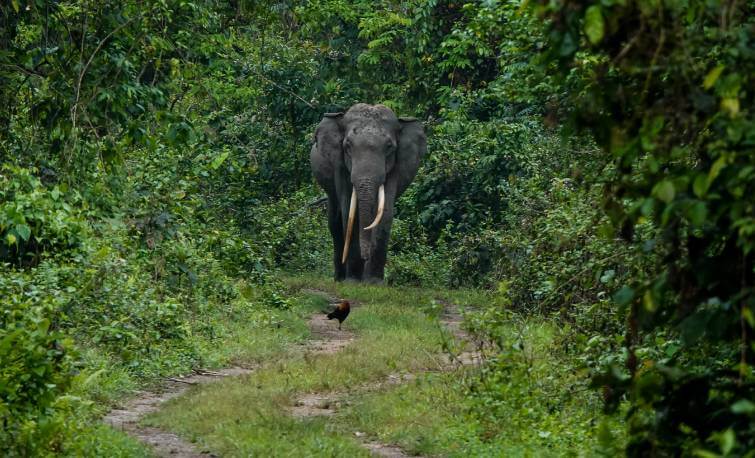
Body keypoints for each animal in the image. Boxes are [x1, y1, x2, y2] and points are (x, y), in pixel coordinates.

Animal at [308, 104, 426, 282]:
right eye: (347, 145)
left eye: (389, 147)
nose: (365, 257)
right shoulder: (339, 164)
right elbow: (349, 210)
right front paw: (352, 282)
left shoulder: (396, 166)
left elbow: (385, 213)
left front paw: (374, 282)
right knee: (334, 221)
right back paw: (340, 279)